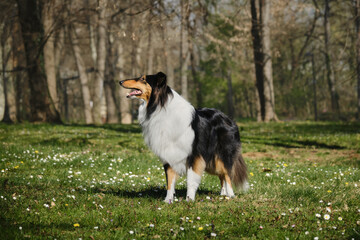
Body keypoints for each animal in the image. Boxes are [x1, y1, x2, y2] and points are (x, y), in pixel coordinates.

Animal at [119, 71, 249, 202]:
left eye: (143, 79)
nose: (120, 81)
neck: (160, 107)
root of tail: (228, 118)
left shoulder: (194, 155)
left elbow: (191, 179)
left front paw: (189, 199)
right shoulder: (169, 152)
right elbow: (170, 180)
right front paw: (168, 201)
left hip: (223, 155)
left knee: (227, 174)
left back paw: (230, 195)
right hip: (212, 160)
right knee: (221, 175)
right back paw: (223, 194)